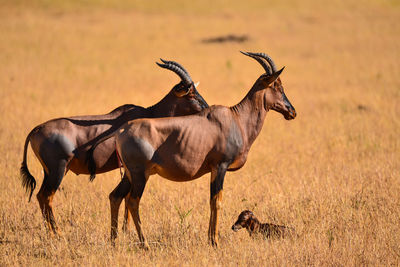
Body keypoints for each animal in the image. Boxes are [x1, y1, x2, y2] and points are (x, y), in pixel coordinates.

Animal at [20, 60, 209, 234]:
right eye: (191, 95)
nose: (207, 110)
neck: (150, 112)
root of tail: (36, 129)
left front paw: (126, 230)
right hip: (59, 169)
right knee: (47, 196)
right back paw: (57, 234)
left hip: (49, 171)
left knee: (40, 196)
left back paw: (50, 233)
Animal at [112, 51, 296, 249]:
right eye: (277, 85)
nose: (292, 112)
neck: (236, 119)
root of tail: (121, 131)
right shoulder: (220, 166)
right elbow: (217, 201)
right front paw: (215, 241)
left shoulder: (213, 170)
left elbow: (211, 201)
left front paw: (210, 239)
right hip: (140, 175)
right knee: (132, 201)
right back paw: (145, 244)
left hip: (129, 174)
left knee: (115, 196)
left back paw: (113, 241)